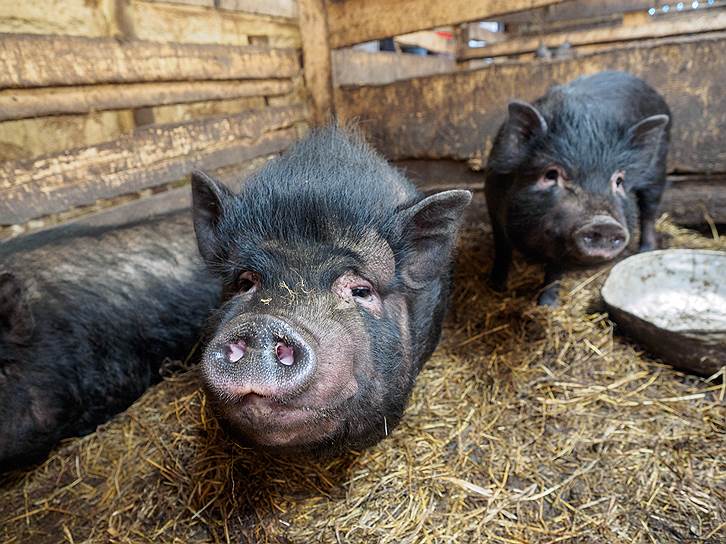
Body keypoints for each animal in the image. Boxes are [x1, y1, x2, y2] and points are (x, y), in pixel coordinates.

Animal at [486, 70, 672, 304]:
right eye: (550, 174)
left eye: (619, 181)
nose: (604, 223)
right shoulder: (492, 202)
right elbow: (501, 248)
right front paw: (495, 287)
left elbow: (555, 271)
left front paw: (546, 305)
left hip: (658, 171)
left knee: (649, 212)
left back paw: (644, 251)